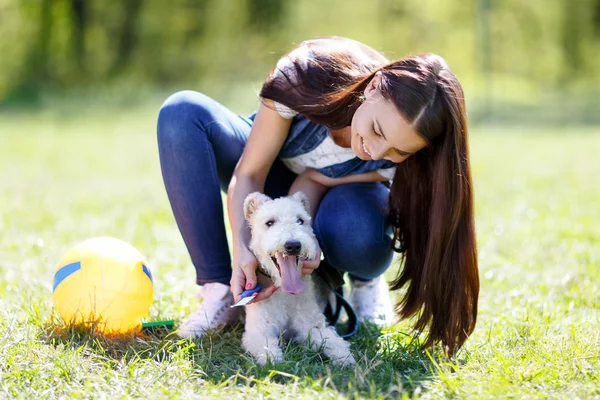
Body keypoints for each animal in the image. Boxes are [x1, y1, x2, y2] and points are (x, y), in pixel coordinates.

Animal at [241, 192, 356, 368]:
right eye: (269, 222)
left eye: (300, 220)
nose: (293, 245)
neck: (284, 292)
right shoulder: (258, 331)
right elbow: (265, 345)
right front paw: (273, 359)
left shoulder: (312, 326)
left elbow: (332, 340)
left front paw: (345, 358)